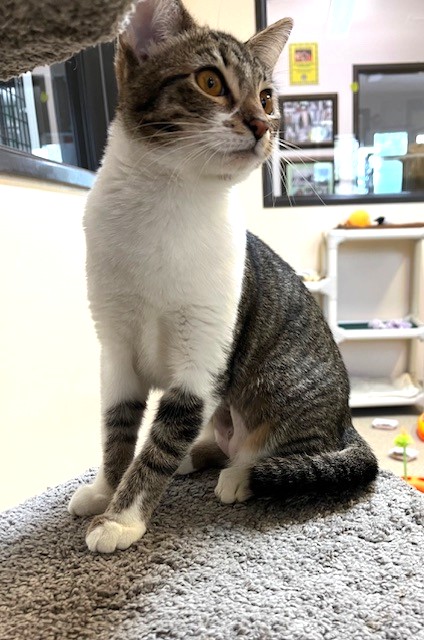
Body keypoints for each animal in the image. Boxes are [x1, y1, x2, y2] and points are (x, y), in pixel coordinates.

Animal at [68, 0, 378, 553]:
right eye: (210, 82)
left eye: (267, 96)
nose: (262, 123)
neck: (165, 200)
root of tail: (345, 421)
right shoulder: (114, 347)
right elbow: (117, 427)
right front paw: (107, 489)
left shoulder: (204, 354)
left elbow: (160, 441)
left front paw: (122, 517)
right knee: (215, 439)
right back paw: (200, 457)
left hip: (282, 385)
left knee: (273, 447)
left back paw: (240, 475)